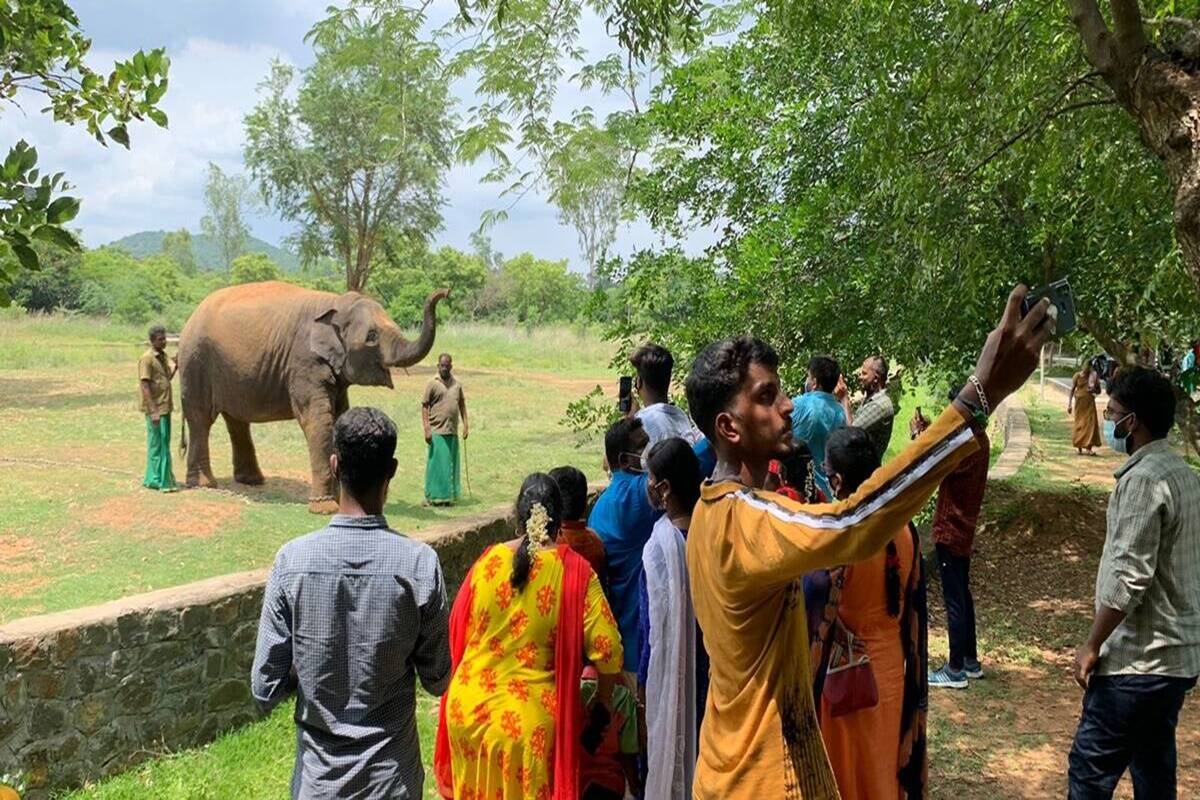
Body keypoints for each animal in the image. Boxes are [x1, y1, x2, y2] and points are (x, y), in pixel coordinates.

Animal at [180, 281, 451, 513]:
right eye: (372, 337)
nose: (446, 292)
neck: (336, 303)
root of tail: (191, 317)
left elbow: (340, 416)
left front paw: (342, 498)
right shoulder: (305, 362)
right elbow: (318, 420)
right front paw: (325, 508)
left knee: (236, 421)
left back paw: (252, 481)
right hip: (196, 361)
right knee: (201, 419)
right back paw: (204, 484)